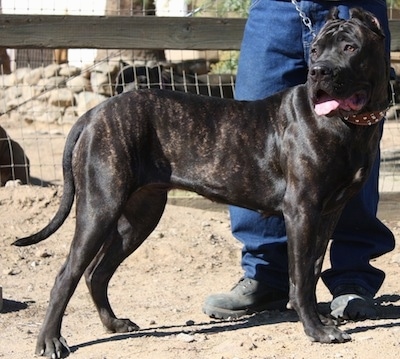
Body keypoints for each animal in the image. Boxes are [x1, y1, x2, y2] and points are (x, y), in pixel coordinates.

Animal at [14, 7, 390, 358]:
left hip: (140, 216)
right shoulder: (301, 210)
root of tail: (95, 113)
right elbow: (299, 277)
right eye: (314, 51)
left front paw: (321, 320)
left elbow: (312, 269)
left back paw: (114, 323)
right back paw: (50, 341)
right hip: (100, 206)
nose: (319, 71)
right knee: (67, 274)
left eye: (350, 47)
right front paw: (316, 330)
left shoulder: (328, 212)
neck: (349, 125)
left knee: (97, 272)